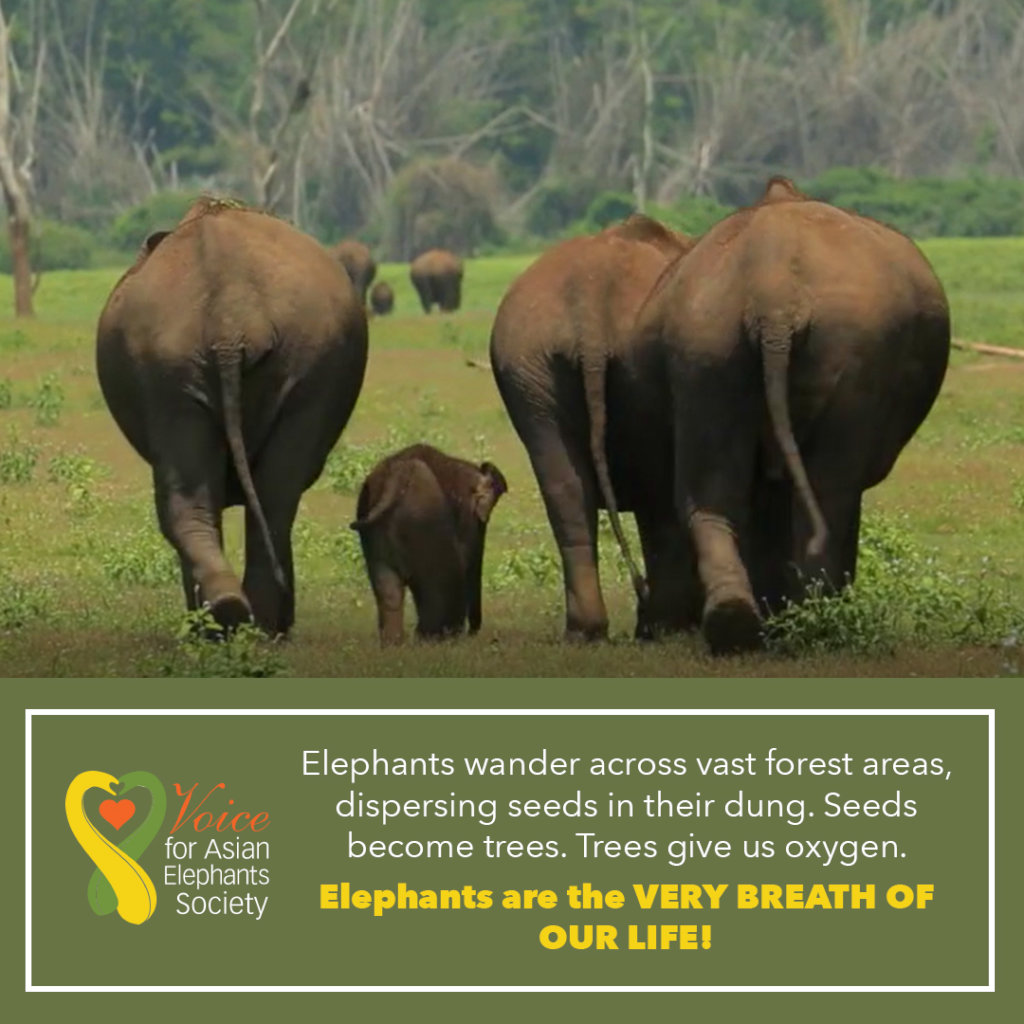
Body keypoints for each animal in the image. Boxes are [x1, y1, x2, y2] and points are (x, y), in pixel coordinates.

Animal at [96, 197, 369, 636]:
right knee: (269, 496)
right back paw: (243, 619)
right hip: (188, 364)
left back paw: (234, 617)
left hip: (186, 366)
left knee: (233, 498)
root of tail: (229, 320)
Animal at [350, 444, 508, 643]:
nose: (473, 633)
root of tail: (395, 478)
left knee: (388, 592)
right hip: (425, 525)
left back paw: (395, 643)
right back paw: (434, 638)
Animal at [489, 214, 697, 641]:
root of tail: (593, 302)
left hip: (527, 365)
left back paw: (589, 631)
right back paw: (663, 627)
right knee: (657, 495)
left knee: (566, 488)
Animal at [632, 176, 951, 654]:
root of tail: (773, 293)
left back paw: (738, 625)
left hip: (704, 344)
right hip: (848, 351)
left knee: (713, 492)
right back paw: (819, 625)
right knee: (830, 490)